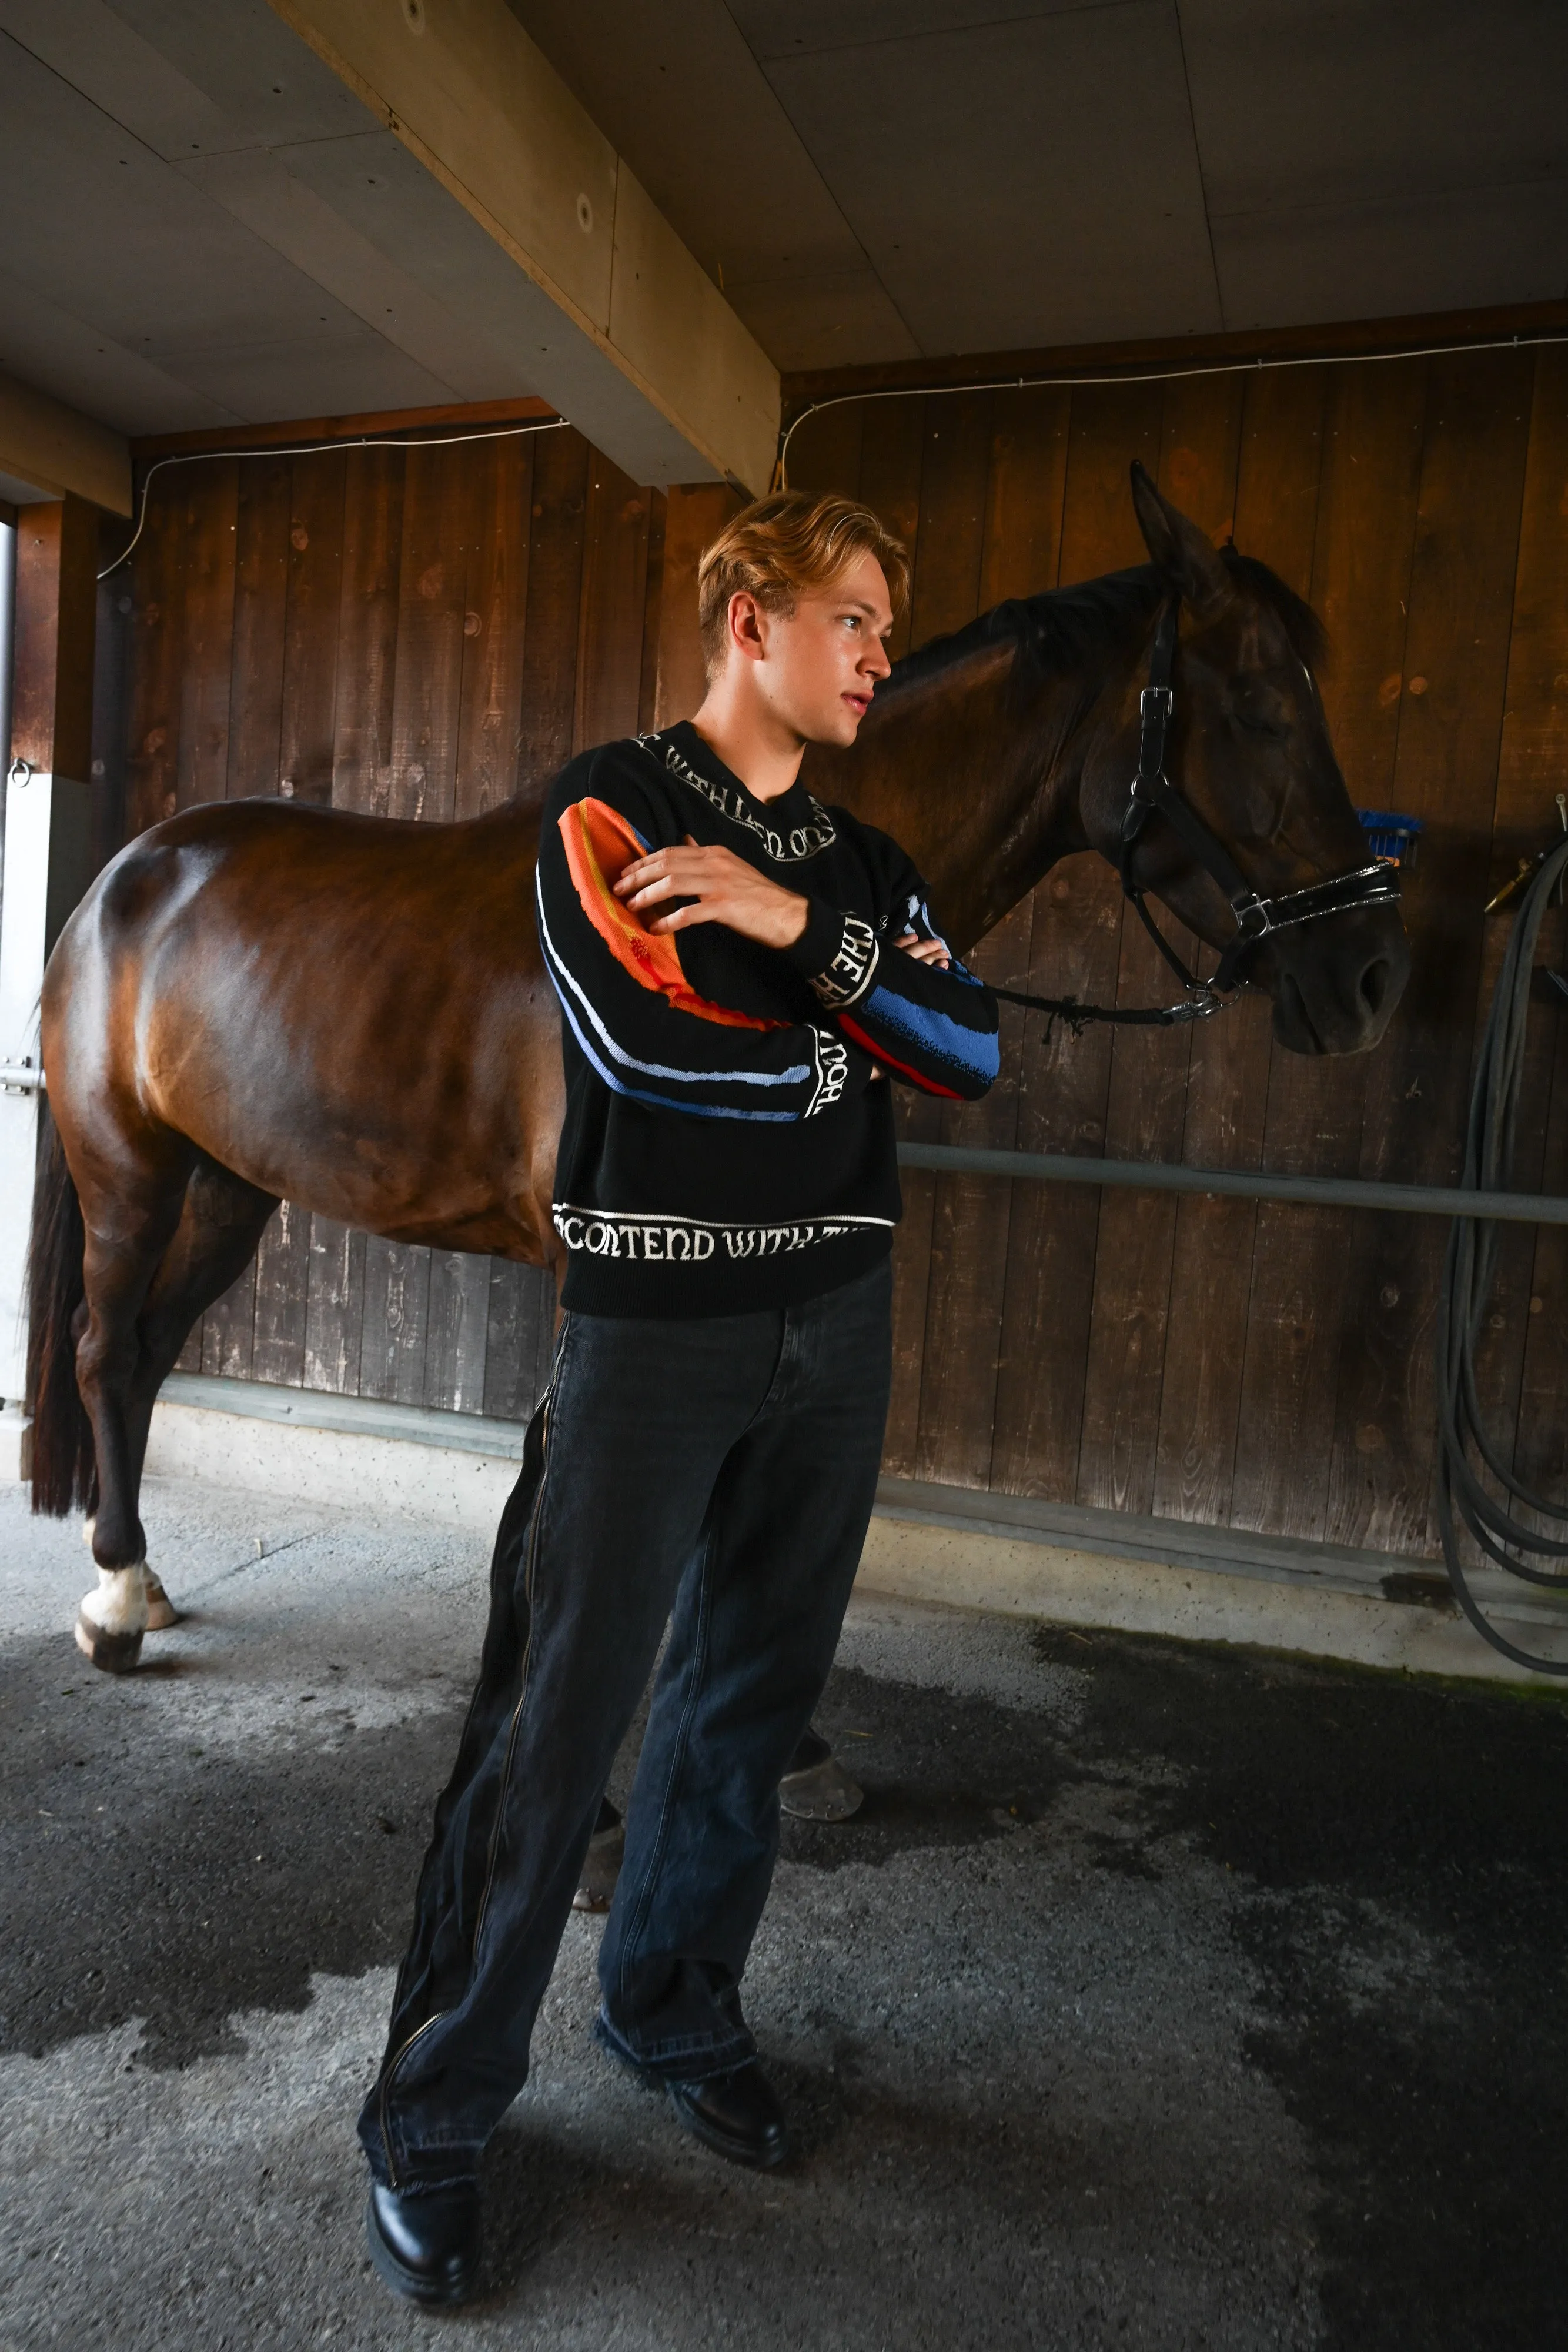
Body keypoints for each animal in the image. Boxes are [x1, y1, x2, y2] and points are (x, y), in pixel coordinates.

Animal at [26, 465, 1410, 1672]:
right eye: (1266, 710)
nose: (1370, 977)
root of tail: (120, 881)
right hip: (132, 1175)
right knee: (105, 1347)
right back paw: (112, 1600)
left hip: (232, 1184)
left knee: (149, 1347)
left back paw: (143, 1577)